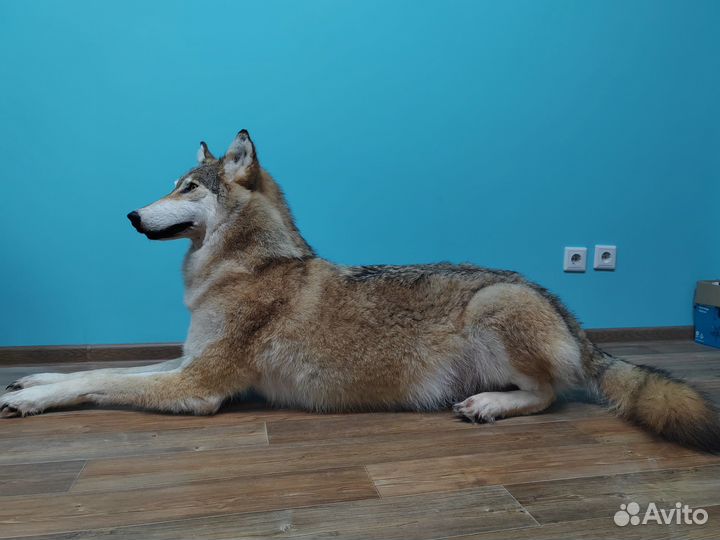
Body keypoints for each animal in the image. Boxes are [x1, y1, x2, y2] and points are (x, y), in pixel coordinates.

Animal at [3, 130, 719, 452]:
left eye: (187, 187)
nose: (128, 215)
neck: (244, 266)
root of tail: (576, 323)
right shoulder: (186, 361)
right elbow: (105, 368)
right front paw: (32, 380)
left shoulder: (198, 385)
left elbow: (101, 380)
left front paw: (30, 400)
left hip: (493, 307)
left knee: (547, 397)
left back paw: (487, 405)